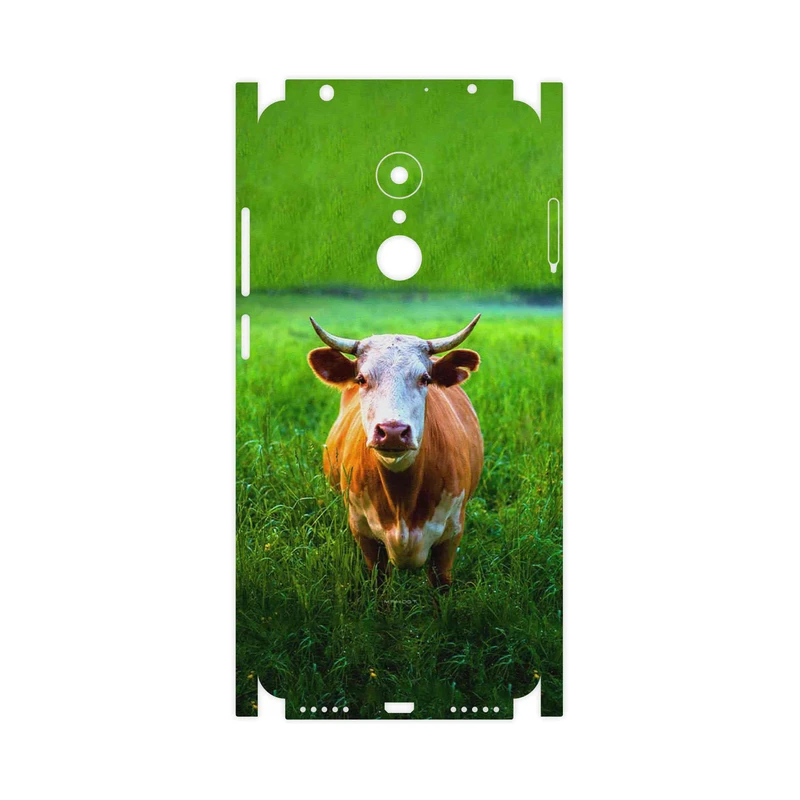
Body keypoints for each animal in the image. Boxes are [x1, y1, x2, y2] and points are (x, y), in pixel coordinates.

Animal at [307, 315, 484, 590]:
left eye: (425, 379)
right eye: (361, 379)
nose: (392, 431)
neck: (402, 500)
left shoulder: (451, 535)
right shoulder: (364, 533)